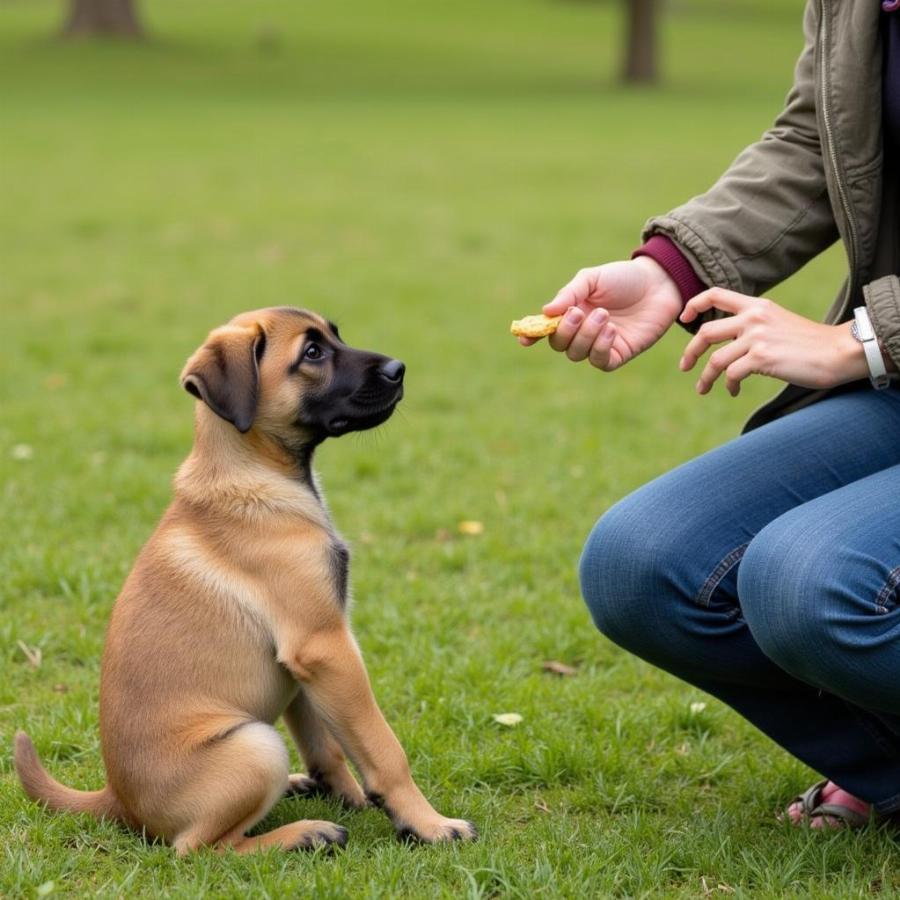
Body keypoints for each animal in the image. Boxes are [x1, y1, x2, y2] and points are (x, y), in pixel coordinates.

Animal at [15, 308, 478, 852]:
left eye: (336, 335)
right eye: (312, 353)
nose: (398, 369)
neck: (253, 471)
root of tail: (118, 801)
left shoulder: (306, 665)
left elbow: (328, 744)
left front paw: (349, 795)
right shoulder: (326, 645)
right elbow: (382, 747)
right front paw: (428, 823)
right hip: (257, 745)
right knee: (202, 848)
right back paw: (303, 834)